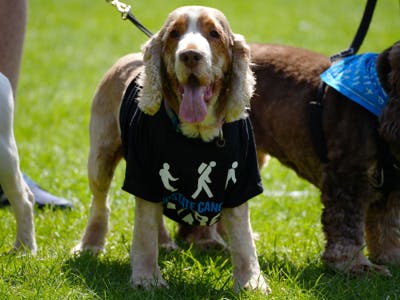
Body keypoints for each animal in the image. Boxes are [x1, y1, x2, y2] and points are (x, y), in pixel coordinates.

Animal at [73, 5, 270, 292]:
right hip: (100, 156)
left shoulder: (241, 181)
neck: (197, 133)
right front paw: (147, 279)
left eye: (214, 34)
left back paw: (165, 243)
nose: (190, 55)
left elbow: (244, 240)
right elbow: (143, 234)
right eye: (174, 34)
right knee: (101, 203)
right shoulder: (143, 175)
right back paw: (90, 245)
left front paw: (251, 282)